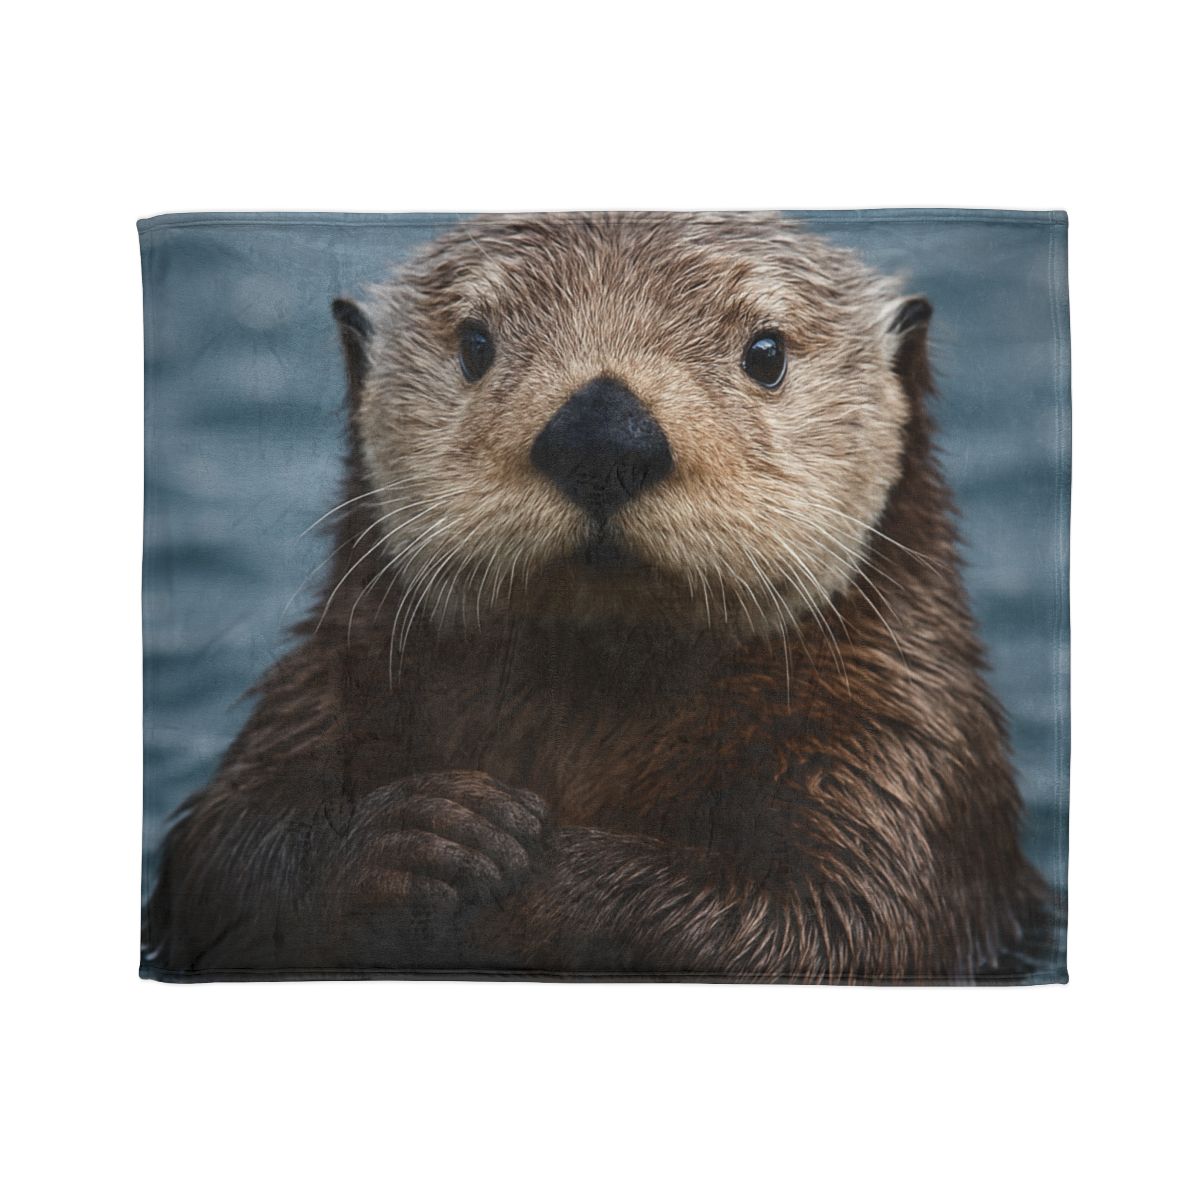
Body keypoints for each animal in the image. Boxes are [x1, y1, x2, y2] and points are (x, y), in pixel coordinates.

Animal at [143, 211, 1047, 982]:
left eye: (765, 353)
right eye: (476, 344)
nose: (604, 432)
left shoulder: (900, 757)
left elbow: (844, 920)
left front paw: (530, 867)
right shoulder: (325, 688)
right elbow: (219, 864)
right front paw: (425, 835)